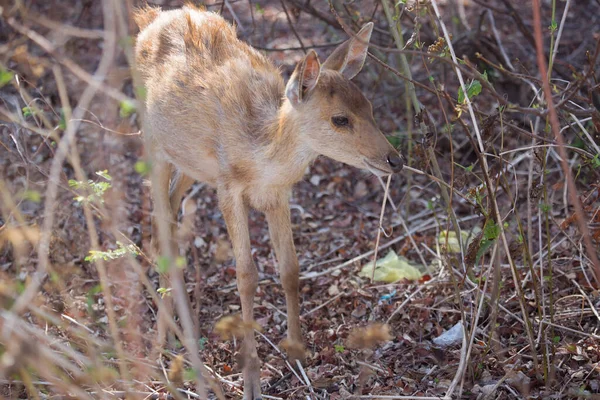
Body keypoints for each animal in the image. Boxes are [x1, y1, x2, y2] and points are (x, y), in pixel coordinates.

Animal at [134, 3, 406, 400]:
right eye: (340, 119)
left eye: (370, 107)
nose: (395, 160)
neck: (260, 153)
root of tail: (151, 17)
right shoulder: (228, 187)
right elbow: (246, 275)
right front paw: (251, 380)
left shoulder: (278, 193)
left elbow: (290, 268)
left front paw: (297, 351)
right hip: (151, 139)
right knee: (160, 222)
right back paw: (162, 345)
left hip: (189, 162)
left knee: (166, 216)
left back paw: (177, 330)